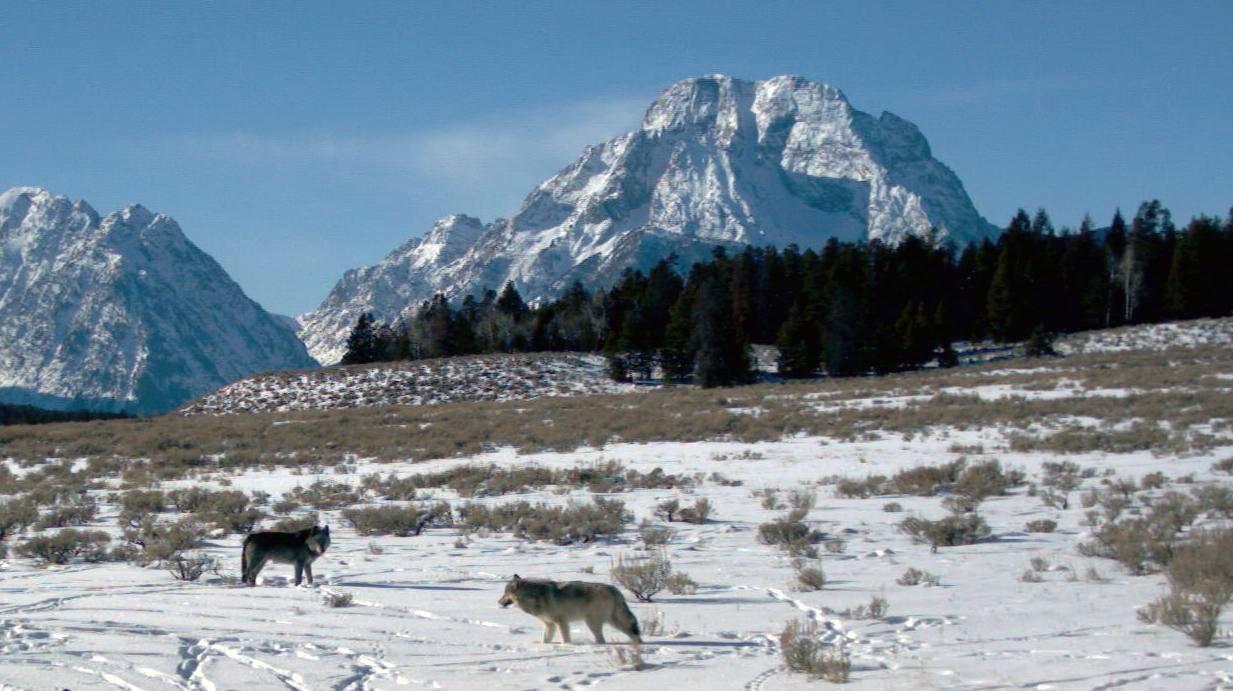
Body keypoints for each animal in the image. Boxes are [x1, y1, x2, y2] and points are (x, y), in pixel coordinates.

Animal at [495, 575, 641, 646]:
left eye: (505, 594)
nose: (498, 602)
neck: (534, 597)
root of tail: (614, 589)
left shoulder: (561, 622)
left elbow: (565, 638)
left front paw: (566, 646)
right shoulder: (550, 625)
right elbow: (545, 639)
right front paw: (543, 646)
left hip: (592, 622)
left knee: (602, 640)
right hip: (612, 621)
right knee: (632, 633)